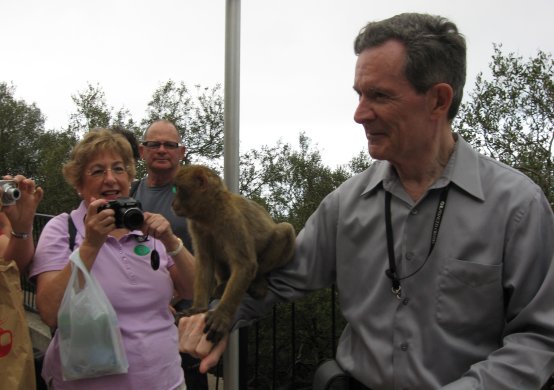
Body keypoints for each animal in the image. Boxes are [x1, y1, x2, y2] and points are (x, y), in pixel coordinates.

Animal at [172, 164, 296, 342]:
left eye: (178, 189)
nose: (172, 203)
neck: (210, 213)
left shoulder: (231, 218)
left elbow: (245, 264)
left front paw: (221, 316)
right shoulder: (195, 224)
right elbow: (205, 261)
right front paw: (198, 308)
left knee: (285, 229)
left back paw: (258, 280)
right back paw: (224, 283)